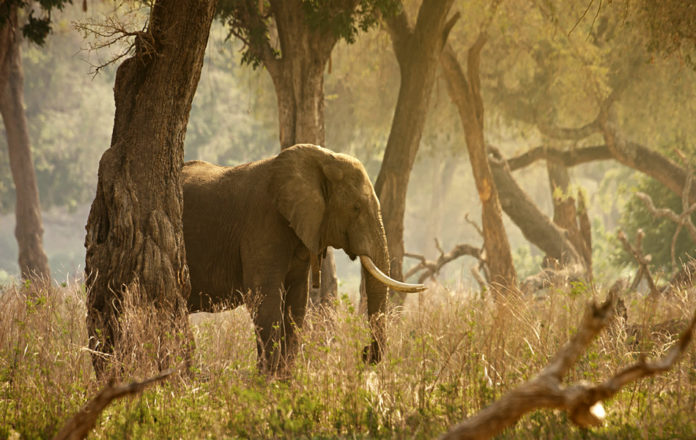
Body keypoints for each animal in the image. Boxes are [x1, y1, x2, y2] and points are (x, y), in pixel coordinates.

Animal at [182, 143, 424, 372]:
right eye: (356, 207)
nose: (365, 354)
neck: (322, 160)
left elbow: (297, 300)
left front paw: (283, 379)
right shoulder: (262, 224)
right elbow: (264, 297)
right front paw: (266, 381)